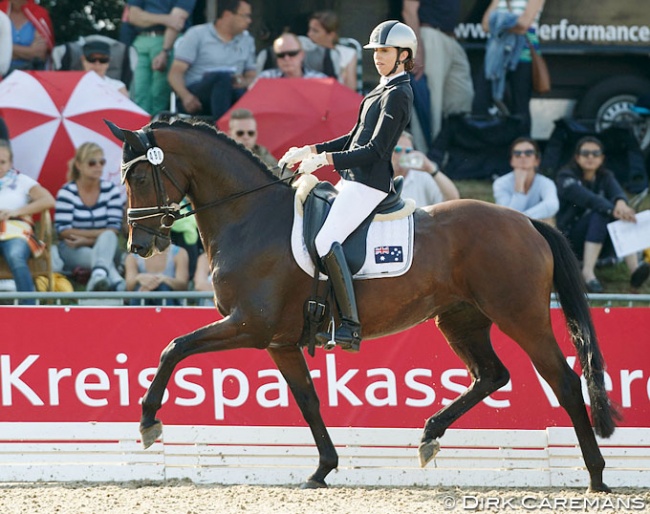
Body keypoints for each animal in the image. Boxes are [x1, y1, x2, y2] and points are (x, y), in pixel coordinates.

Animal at [107, 118, 616, 490]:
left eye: (139, 176)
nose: (140, 246)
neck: (248, 217)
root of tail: (528, 223)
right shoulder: (278, 341)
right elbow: (308, 401)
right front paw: (322, 469)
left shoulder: (249, 325)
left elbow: (173, 347)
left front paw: (148, 421)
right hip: (460, 319)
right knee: (490, 374)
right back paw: (429, 436)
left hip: (520, 317)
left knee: (564, 382)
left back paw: (596, 476)